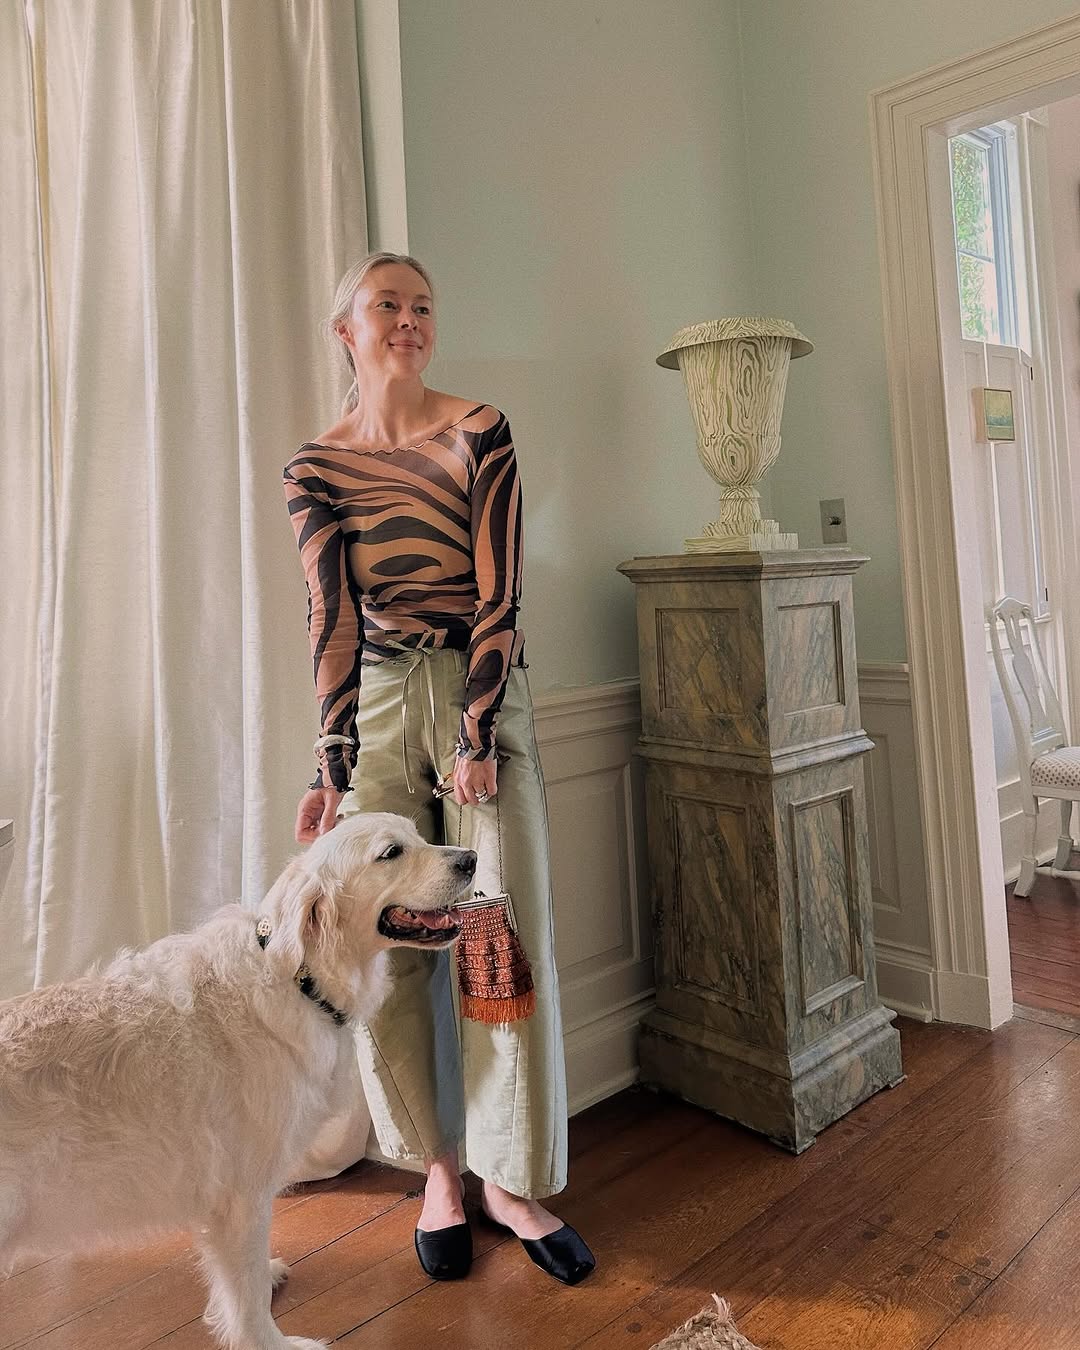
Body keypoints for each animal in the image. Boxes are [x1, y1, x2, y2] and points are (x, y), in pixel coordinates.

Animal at [0, 812, 474, 1350]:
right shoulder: (242, 1197)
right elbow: (246, 1298)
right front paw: (273, 1343)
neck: (298, 977)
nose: (471, 858)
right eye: (391, 853)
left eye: (416, 836)